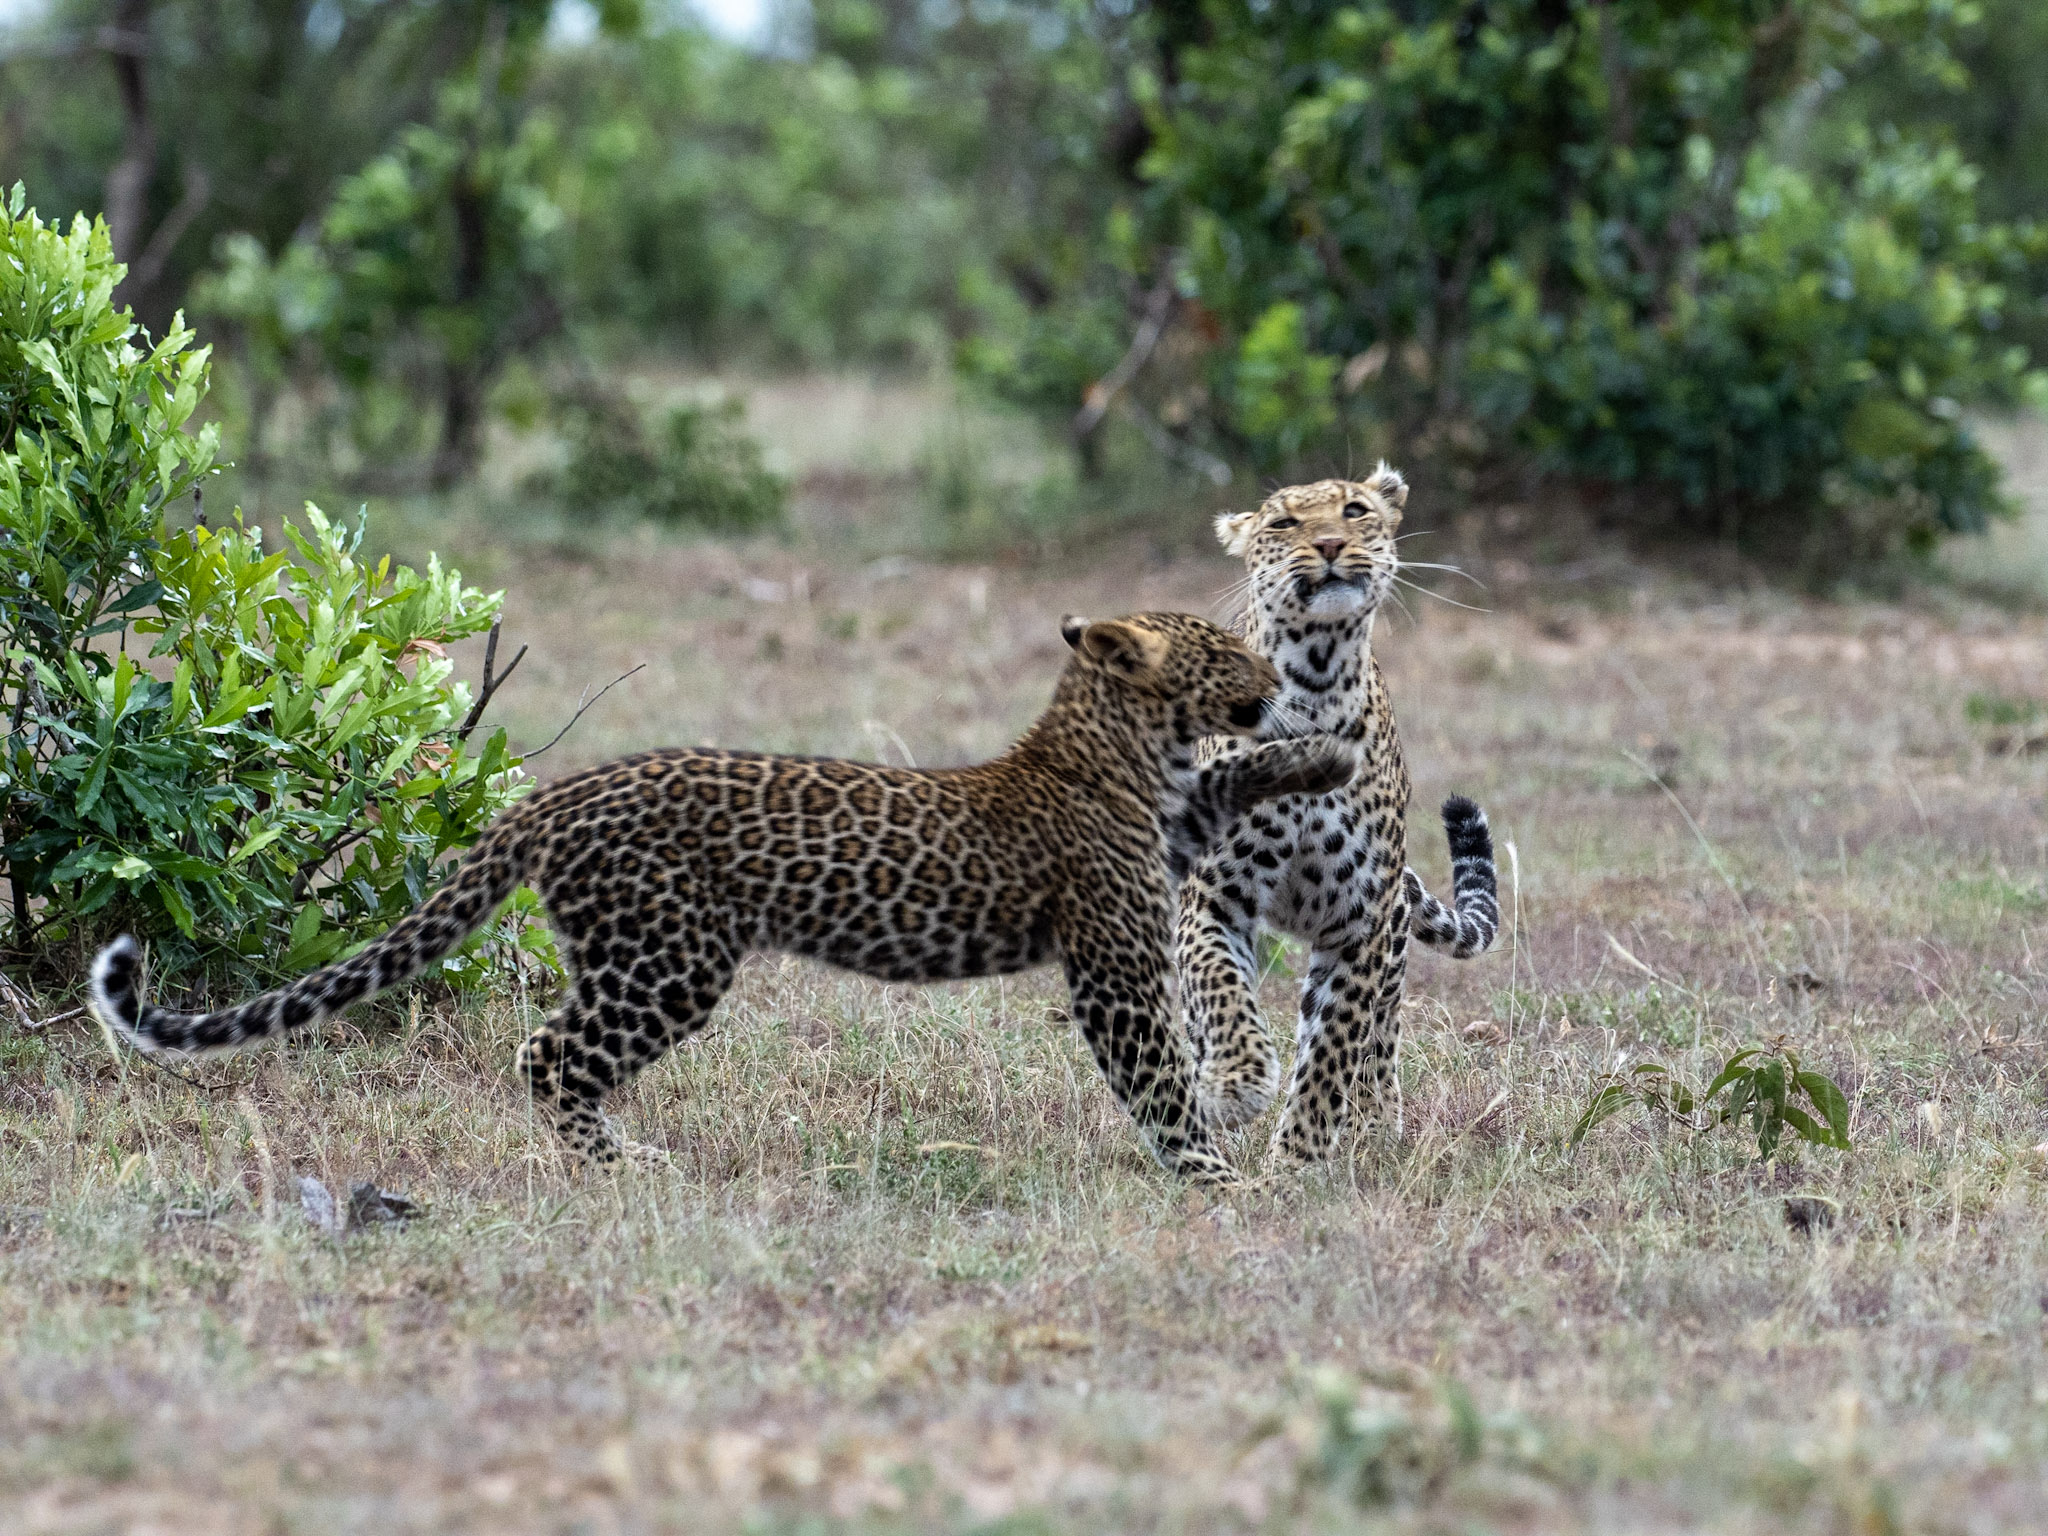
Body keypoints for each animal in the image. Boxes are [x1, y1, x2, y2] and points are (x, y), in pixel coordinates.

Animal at [89, 611, 1362, 1183]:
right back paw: (615, 1168)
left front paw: (1318, 756)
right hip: (671, 958)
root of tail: (556, 795)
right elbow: (1157, 1075)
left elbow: (1232, 783)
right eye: (1217, 650)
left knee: (552, 1050)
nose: (1269, 674)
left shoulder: (1176, 830)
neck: (1118, 753)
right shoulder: (1110, 960)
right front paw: (1212, 1182)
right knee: (549, 1054)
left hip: (634, 954)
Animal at [1176, 465, 1501, 1165]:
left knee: (1378, 1041)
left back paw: (1374, 1127)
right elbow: (1221, 989)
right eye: (1283, 523)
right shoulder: (1214, 896)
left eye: (1355, 511)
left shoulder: (1360, 925)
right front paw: (1236, 1082)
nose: (1328, 545)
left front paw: (1296, 1160)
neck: (1317, 683)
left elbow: (1331, 1052)